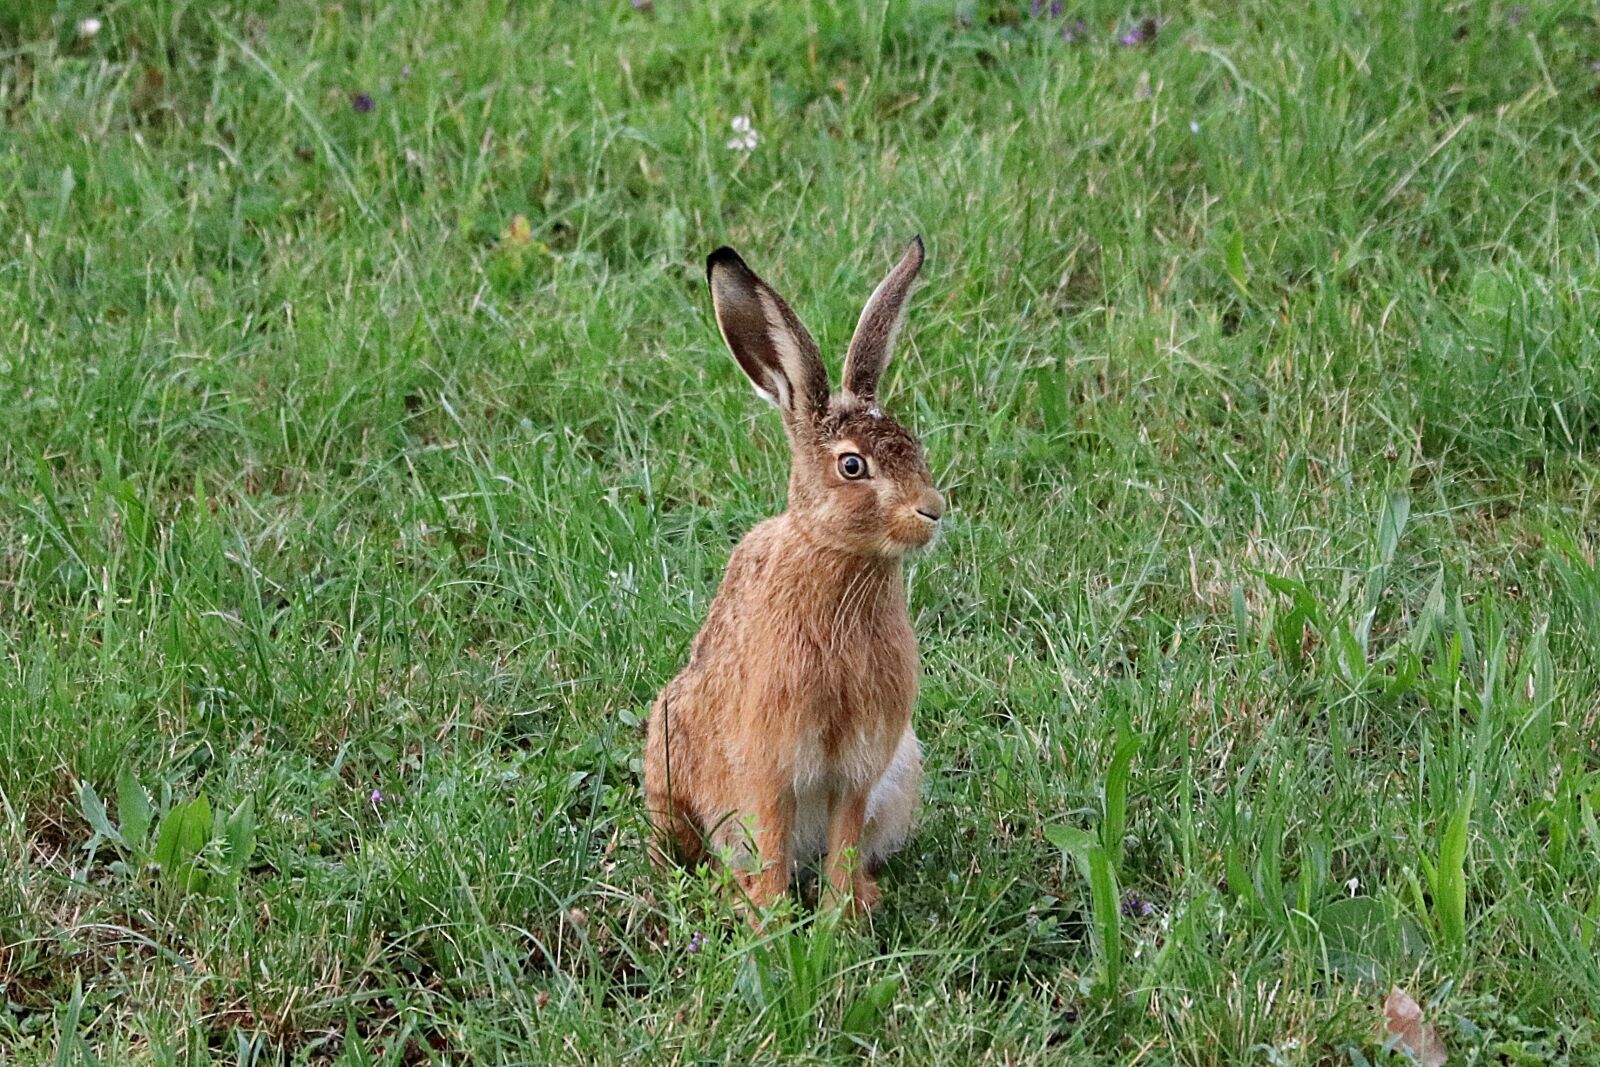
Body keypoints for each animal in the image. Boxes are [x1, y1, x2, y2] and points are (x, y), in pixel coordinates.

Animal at [644, 236, 943, 916]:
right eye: (853, 466)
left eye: (914, 446)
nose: (934, 510)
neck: (836, 559)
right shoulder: (770, 761)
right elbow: (774, 839)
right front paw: (771, 920)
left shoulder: (859, 767)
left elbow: (844, 841)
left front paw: (841, 918)